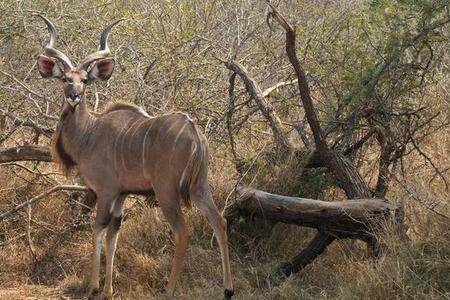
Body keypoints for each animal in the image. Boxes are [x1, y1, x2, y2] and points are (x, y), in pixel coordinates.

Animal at [35, 15, 234, 298]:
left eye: (85, 80)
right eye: (64, 78)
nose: (73, 96)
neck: (90, 133)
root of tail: (194, 132)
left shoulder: (106, 191)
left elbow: (97, 232)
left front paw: (94, 288)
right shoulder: (122, 195)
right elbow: (113, 237)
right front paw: (108, 290)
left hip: (166, 192)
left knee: (183, 233)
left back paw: (168, 290)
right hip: (200, 186)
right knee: (220, 221)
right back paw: (228, 289)